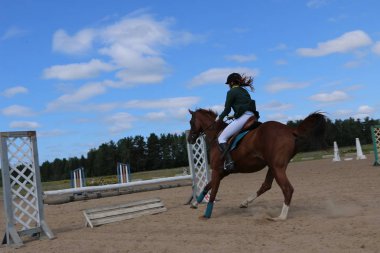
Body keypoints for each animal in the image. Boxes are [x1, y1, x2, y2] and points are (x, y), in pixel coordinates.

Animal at [187, 108, 326, 219]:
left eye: (191, 122)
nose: (190, 139)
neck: (217, 134)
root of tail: (290, 129)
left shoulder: (217, 170)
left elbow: (213, 192)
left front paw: (207, 214)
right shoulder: (223, 172)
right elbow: (206, 187)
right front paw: (195, 203)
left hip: (277, 167)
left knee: (287, 189)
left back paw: (281, 217)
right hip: (273, 166)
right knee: (266, 185)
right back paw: (245, 202)